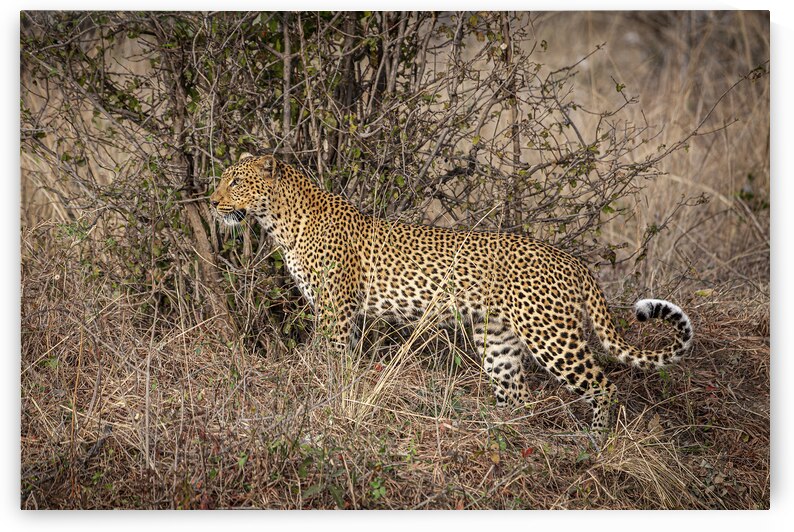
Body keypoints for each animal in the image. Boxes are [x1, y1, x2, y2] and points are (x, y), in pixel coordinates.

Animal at [209, 153, 694, 432]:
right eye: (224, 180)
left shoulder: (335, 310)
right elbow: (341, 363)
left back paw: (596, 441)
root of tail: (573, 261)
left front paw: (318, 398)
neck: (278, 220)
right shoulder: (341, 314)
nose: (212, 203)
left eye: (236, 183)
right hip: (496, 338)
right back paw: (504, 433)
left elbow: (328, 360)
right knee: (517, 394)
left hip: (551, 336)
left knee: (603, 386)